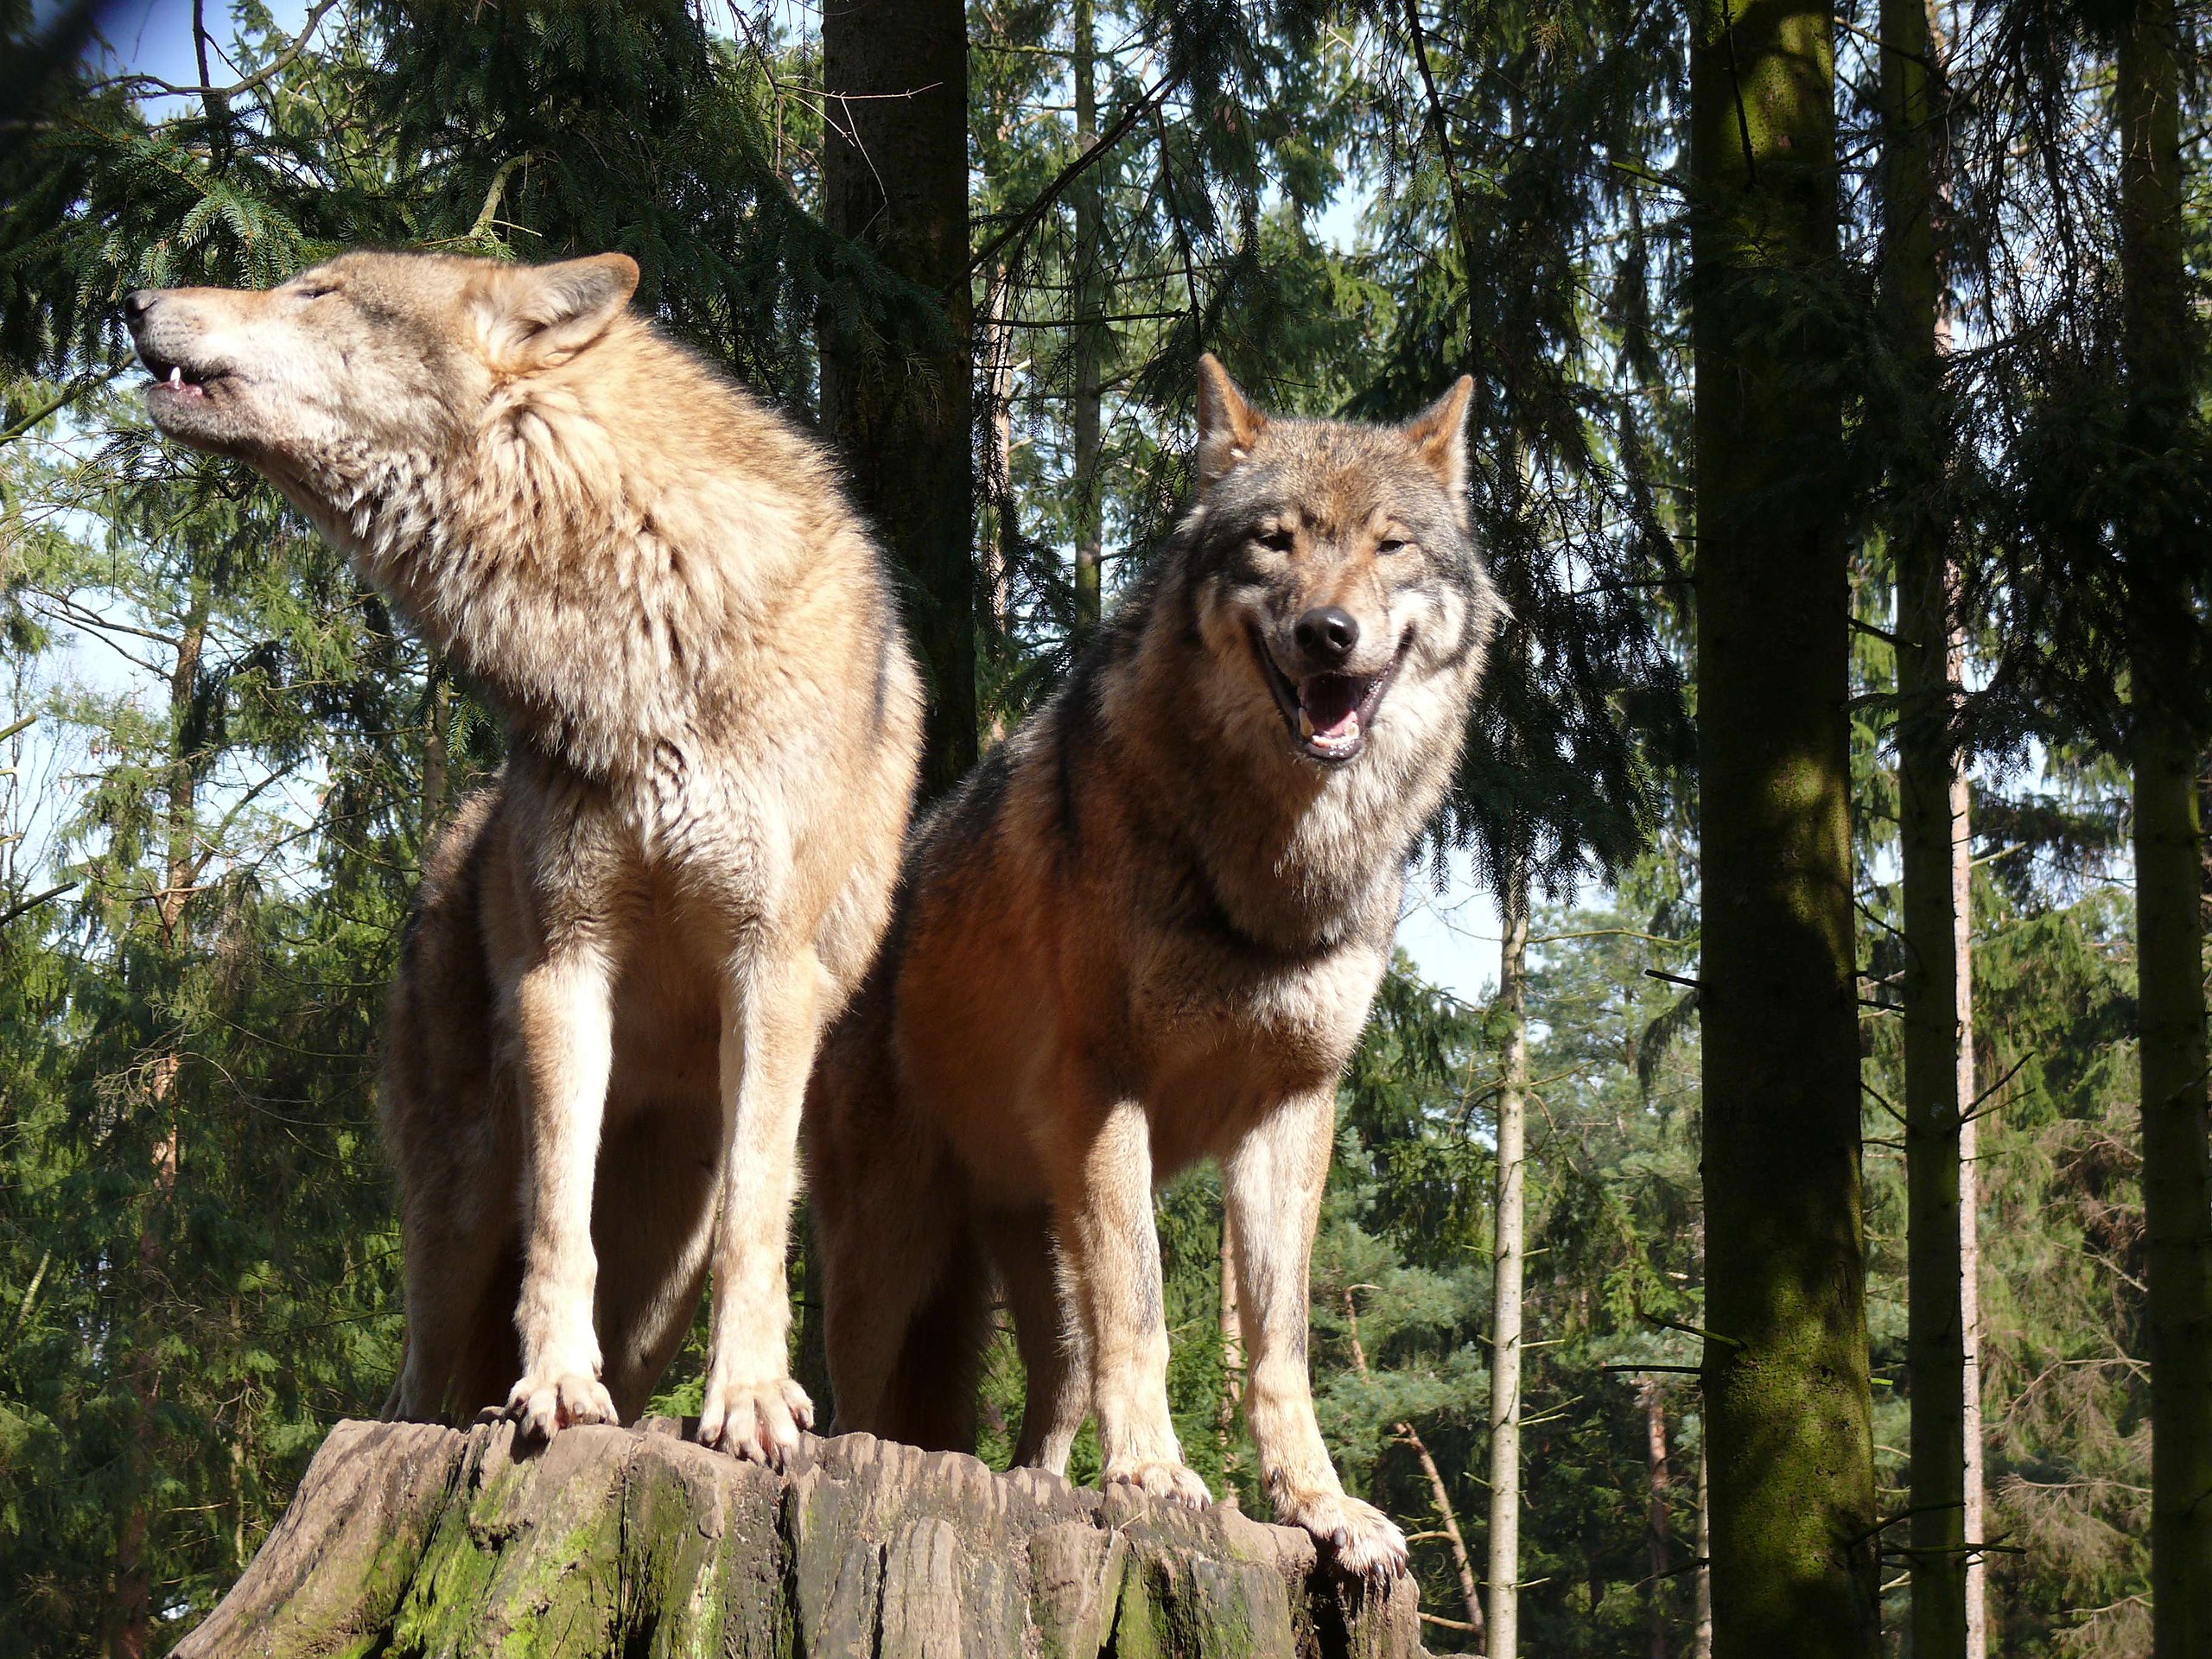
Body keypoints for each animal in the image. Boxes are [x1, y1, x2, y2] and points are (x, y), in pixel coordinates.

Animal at [129, 250, 925, 1468]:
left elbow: (756, 1215)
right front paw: (552, 1383)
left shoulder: (772, 968)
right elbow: (559, 1212)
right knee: (425, 1371)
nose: (133, 301)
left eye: (318, 293)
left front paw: (750, 1399)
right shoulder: (566, 964)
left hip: (660, 1283)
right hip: (456, 1209)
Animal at [804, 353, 1495, 1574]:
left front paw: (1320, 1505)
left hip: (1031, 1262)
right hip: (885, 1257)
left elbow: (1279, 1344)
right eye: (1274, 541)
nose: (1328, 632)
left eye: (1388, 546)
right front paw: (1153, 1476)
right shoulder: (1106, 1088)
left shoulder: (1292, 1108)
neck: (1272, 867)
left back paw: (1037, 1487)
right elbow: (1150, 1308)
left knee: (1048, 1409)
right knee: (859, 1398)